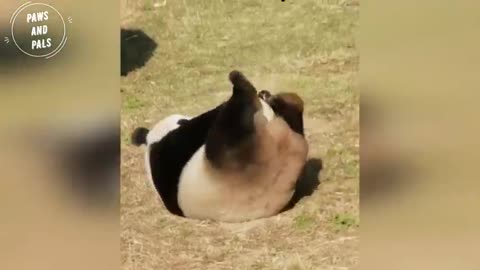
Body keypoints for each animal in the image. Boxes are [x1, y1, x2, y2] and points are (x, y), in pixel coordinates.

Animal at [131, 70, 308, 223]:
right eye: (182, 120)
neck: (154, 139)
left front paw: (266, 95)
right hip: (231, 155)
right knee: (235, 117)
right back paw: (242, 82)